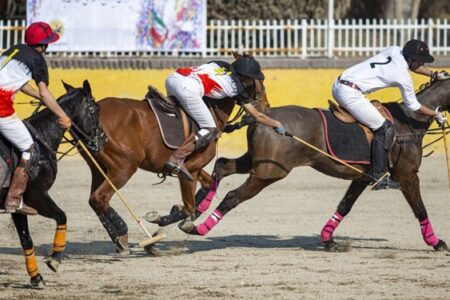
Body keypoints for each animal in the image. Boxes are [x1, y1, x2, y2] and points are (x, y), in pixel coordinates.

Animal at [0, 80, 103, 288]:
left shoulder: (17, 205)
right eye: (95, 109)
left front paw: (36, 278)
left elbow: (26, 239)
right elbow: (62, 217)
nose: (103, 139)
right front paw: (54, 258)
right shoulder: (36, 195)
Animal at [80, 53, 268, 253]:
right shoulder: (189, 170)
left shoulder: (193, 169)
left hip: (99, 168)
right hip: (124, 167)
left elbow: (208, 185)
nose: (266, 107)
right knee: (100, 198)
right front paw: (163, 219)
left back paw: (120, 239)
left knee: (94, 200)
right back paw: (125, 236)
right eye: (261, 83)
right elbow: (188, 207)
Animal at [178, 76, 450, 252]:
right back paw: (198, 228)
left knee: (223, 165)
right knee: (232, 196)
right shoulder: (407, 175)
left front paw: (329, 240)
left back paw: (196, 209)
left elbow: (345, 206)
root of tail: (262, 116)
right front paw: (437, 243)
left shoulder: (363, 176)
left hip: (257, 162)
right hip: (269, 172)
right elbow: (420, 209)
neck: (409, 122)